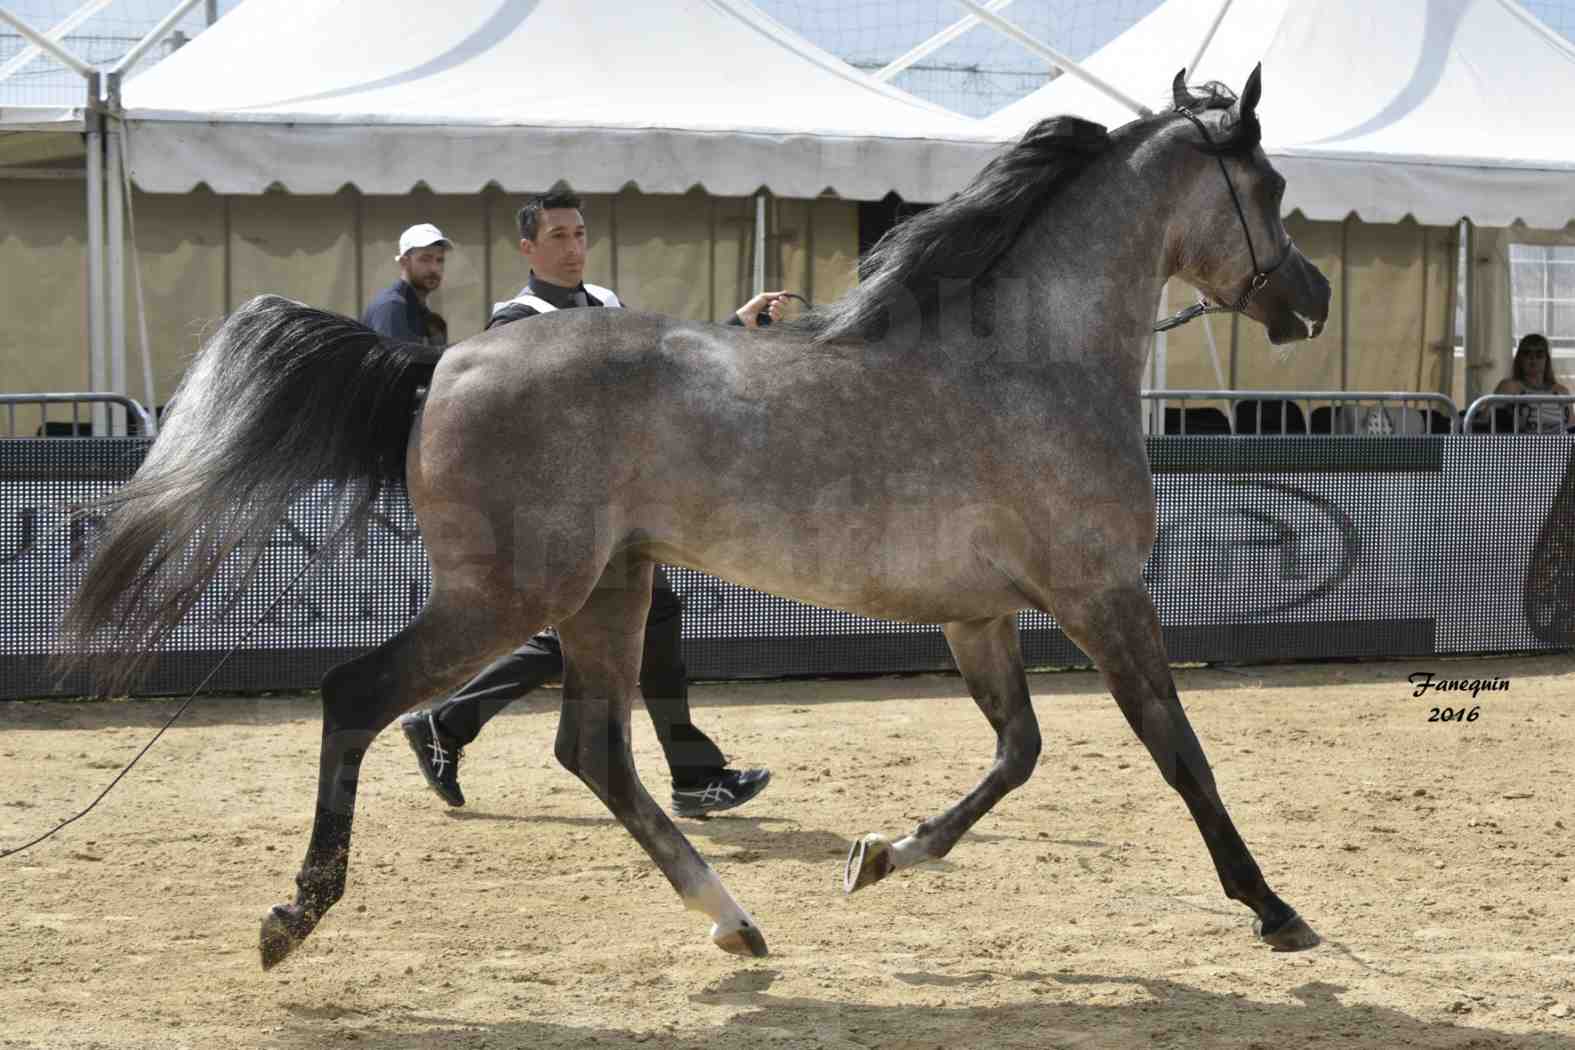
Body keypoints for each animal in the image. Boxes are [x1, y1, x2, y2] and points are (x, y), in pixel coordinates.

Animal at [67, 67, 1335, 969]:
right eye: (1272, 191)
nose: (1312, 300)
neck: (1029, 361)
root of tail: (443, 362)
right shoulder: (1101, 597)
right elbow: (1178, 753)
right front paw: (1275, 908)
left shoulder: (979, 619)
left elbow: (1016, 755)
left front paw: (881, 857)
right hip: (513, 594)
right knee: (359, 698)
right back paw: (298, 913)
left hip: (609, 590)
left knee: (593, 749)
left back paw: (734, 920)